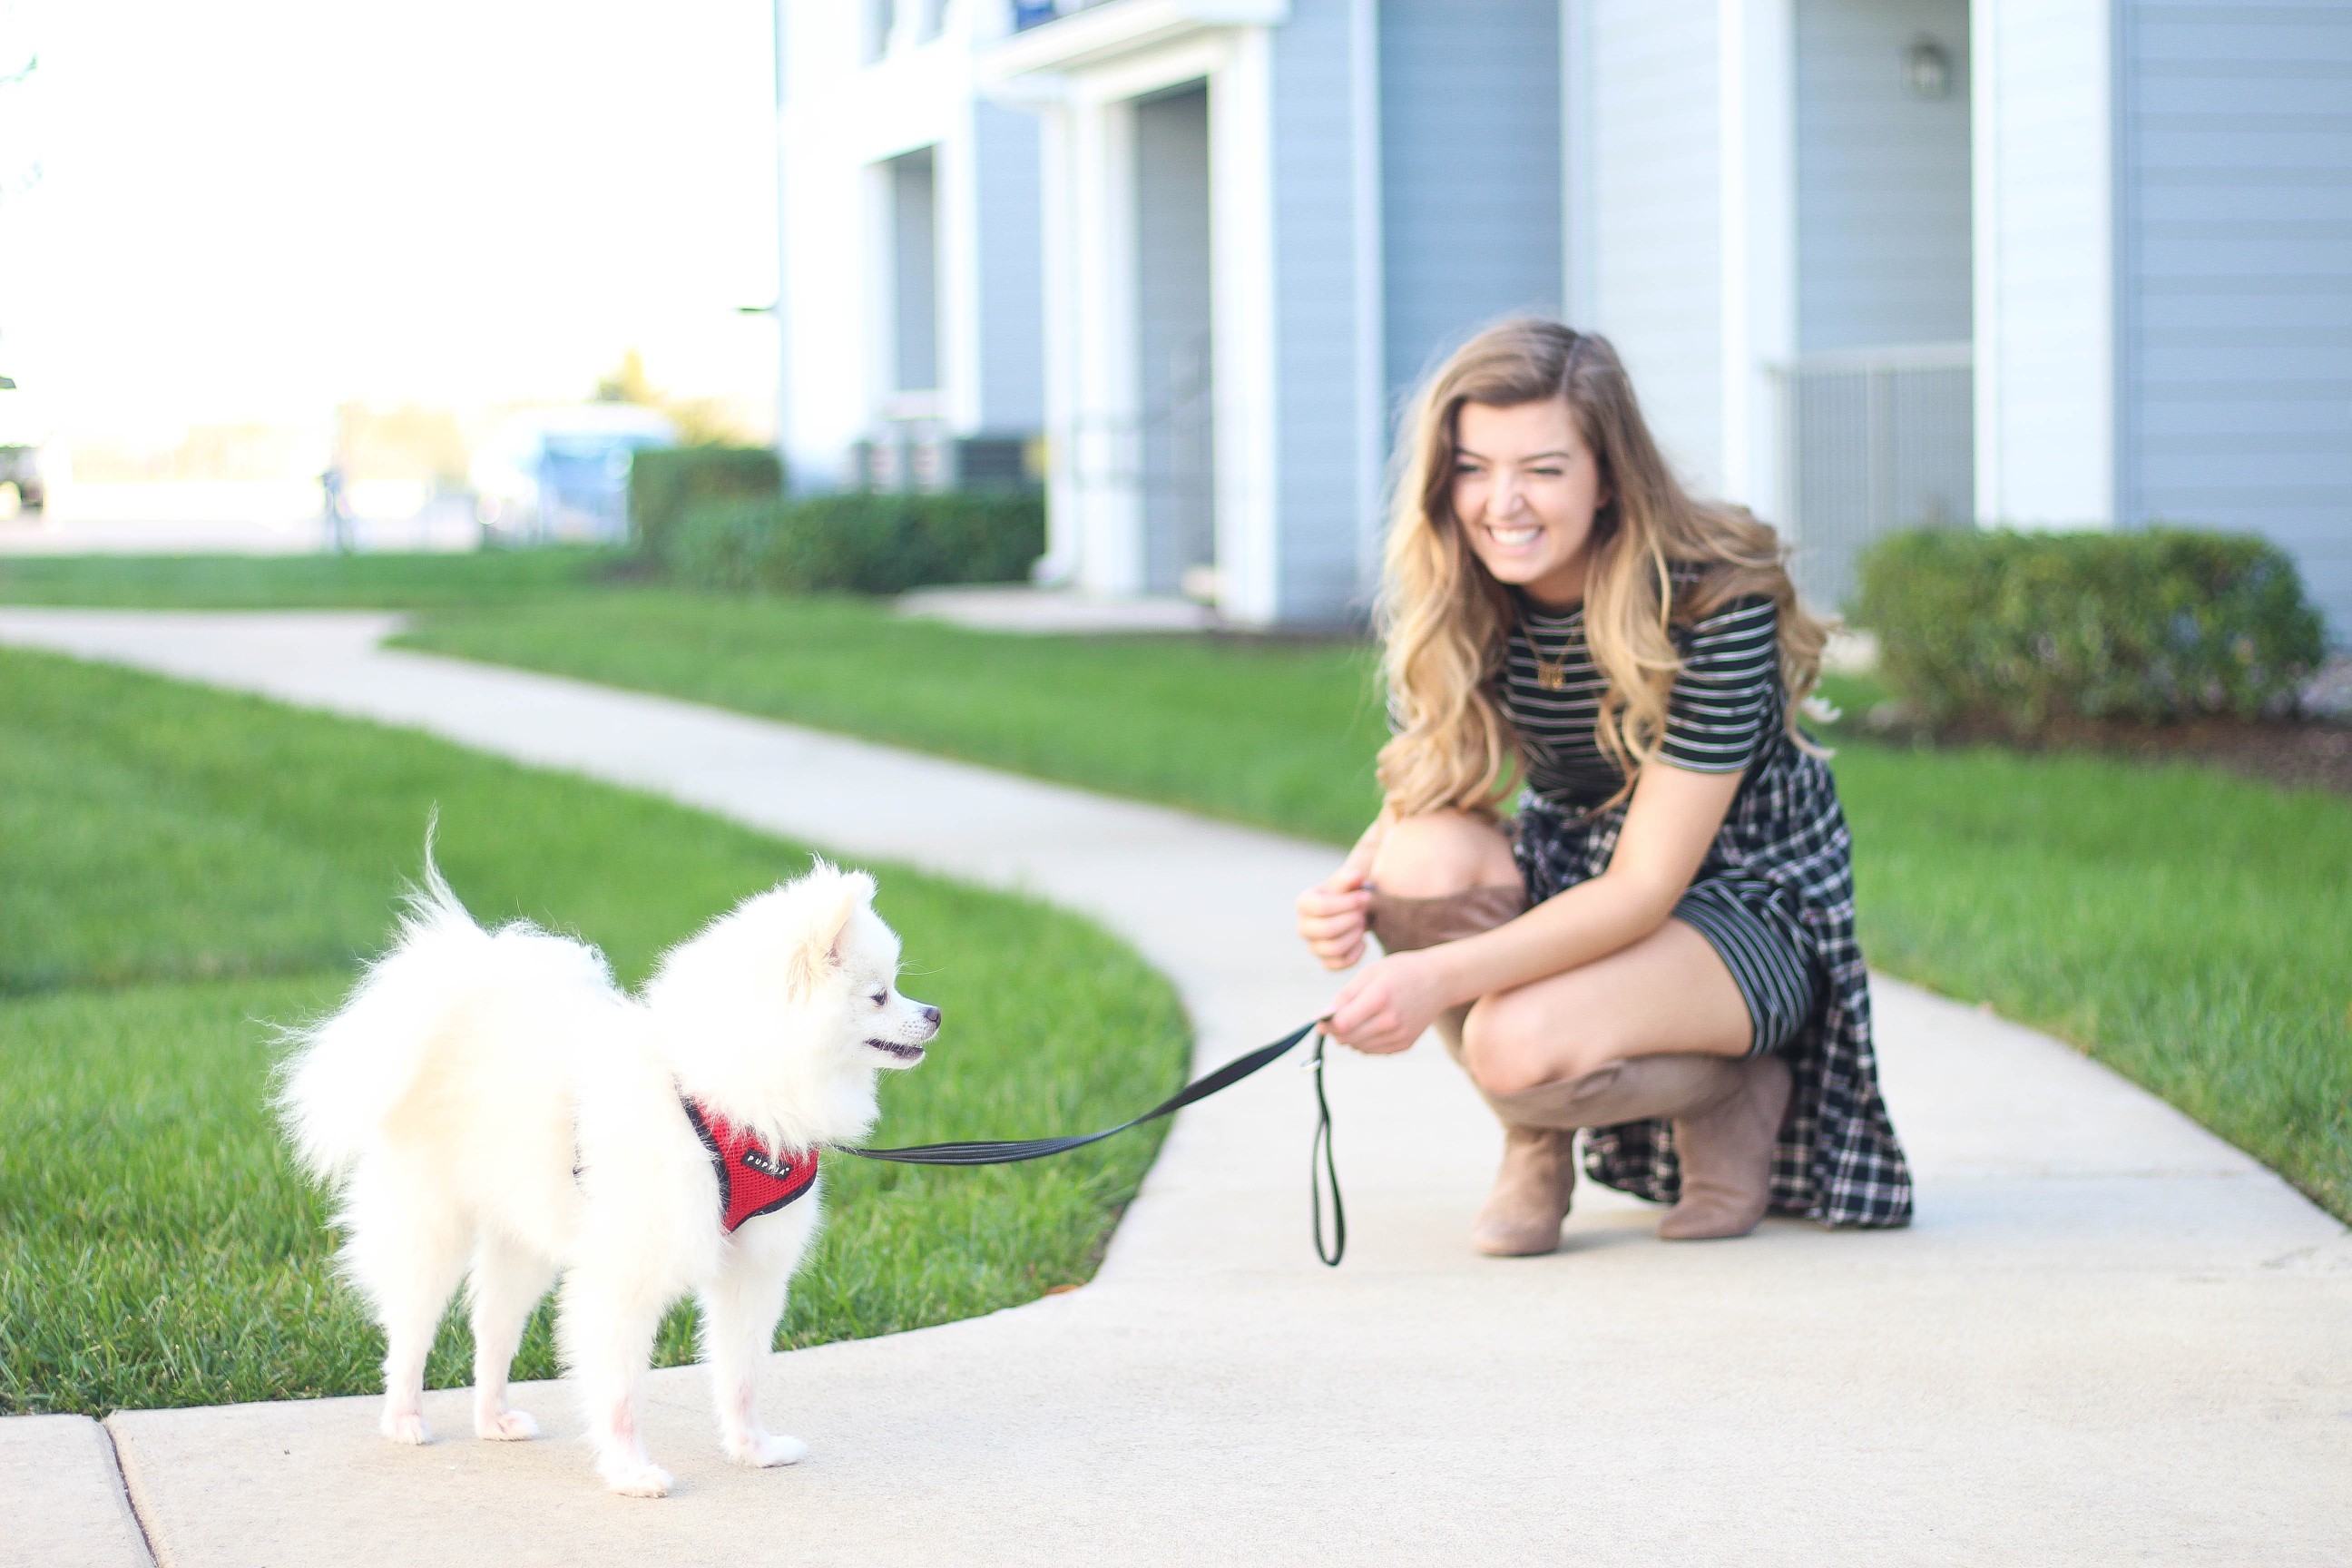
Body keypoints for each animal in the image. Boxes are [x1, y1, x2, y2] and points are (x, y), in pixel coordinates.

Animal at [277, 860, 936, 1494]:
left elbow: (741, 1376)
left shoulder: (753, 1271)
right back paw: (405, 1418)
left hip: (524, 1238)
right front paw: (630, 1473)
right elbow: (621, 1392)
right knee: (411, 1330)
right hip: (430, 1227)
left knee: (492, 1329)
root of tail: (460, 1002)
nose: (934, 1012)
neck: (721, 1105)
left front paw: (754, 1450)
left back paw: (493, 1419)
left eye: (895, 987)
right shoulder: (626, 1275)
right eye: (879, 995)